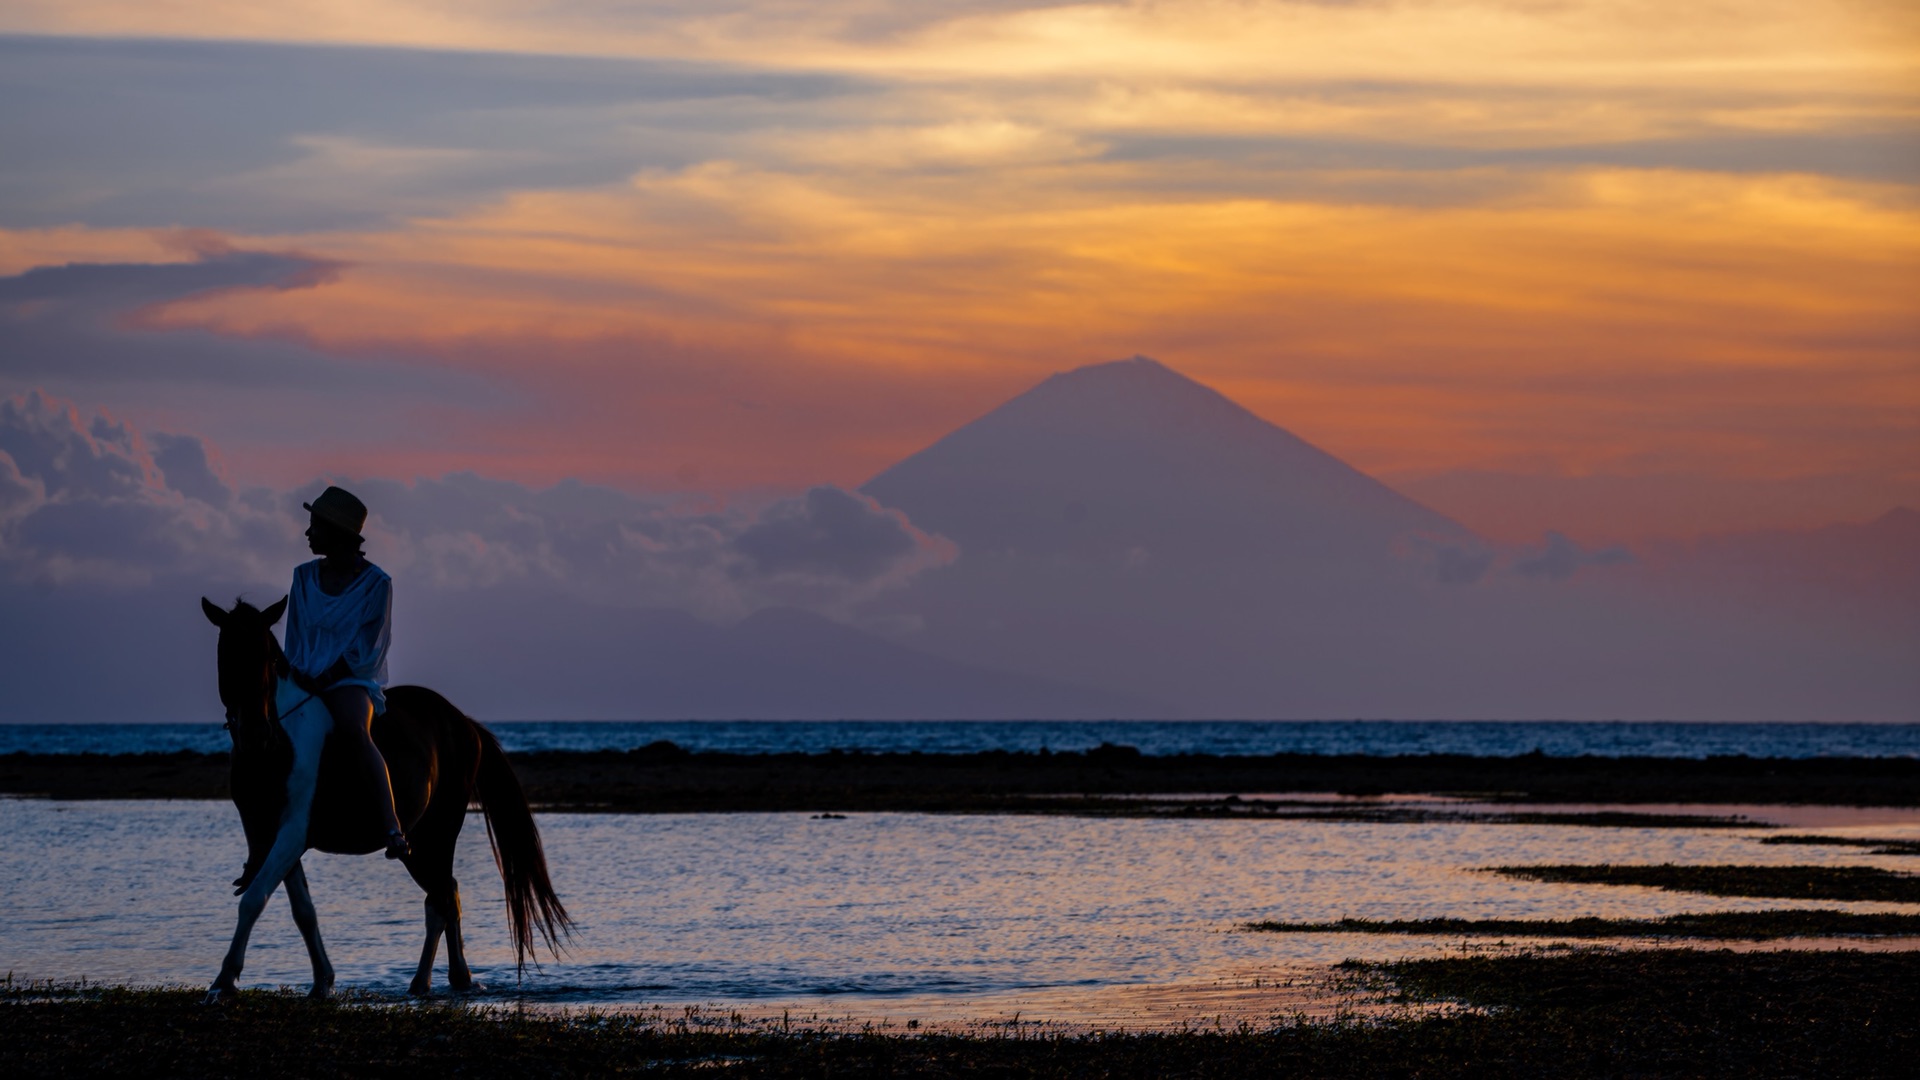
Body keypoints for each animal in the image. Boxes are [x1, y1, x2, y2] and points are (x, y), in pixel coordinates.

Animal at [198, 591, 568, 999]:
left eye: (266, 656)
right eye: (226, 653)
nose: (255, 734)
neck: (278, 745)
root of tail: (464, 723)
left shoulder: (292, 831)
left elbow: (253, 899)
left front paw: (224, 980)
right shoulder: (266, 833)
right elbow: (302, 910)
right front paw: (322, 981)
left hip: (436, 833)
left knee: (441, 898)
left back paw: (424, 982)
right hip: (421, 842)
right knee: (447, 895)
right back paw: (456, 978)